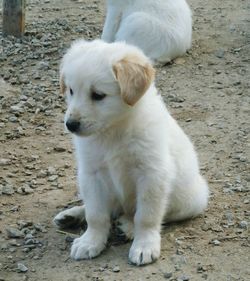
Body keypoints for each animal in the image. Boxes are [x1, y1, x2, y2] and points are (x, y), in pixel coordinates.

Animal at [54, 39, 209, 264]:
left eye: (98, 95)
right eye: (71, 91)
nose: (70, 125)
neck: (114, 130)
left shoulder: (152, 174)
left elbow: (146, 216)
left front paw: (144, 245)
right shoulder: (91, 173)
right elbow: (96, 214)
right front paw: (90, 241)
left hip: (192, 199)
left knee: (149, 214)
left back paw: (127, 227)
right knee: (108, 210)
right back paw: (71, 215)